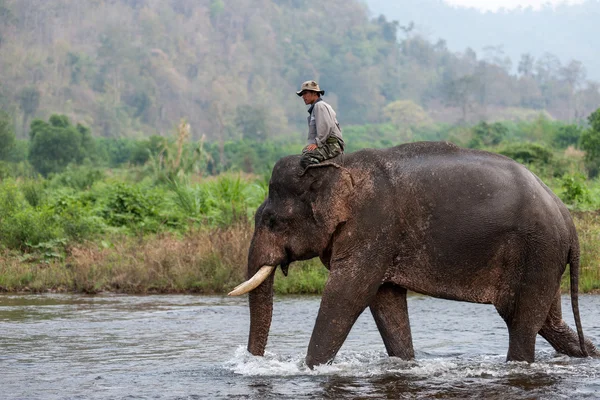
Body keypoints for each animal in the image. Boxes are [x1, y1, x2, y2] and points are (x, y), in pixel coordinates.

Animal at [227, 141, 596, 368]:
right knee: (548, 322)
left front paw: (310, 369)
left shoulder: (374, 226)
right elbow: (385, 300)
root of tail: (567, 219)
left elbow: (348, 293)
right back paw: (589, 356)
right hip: (544, 257)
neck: (339, 166)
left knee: (522, 323)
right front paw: (406, 365)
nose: (252, 362)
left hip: (537, 252)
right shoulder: (382, 241)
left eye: (272, 221)